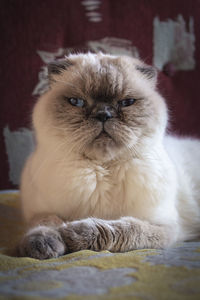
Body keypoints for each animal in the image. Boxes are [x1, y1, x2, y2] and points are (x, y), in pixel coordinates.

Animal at [18, 52, 199, 258]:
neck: (102, 168)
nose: (103, 114)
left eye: (127, 103)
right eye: (77, 102)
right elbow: (45, 223)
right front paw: (44, 245)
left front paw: (73, 233)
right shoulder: (39, 211)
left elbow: (123, 228)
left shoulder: (163, 226)